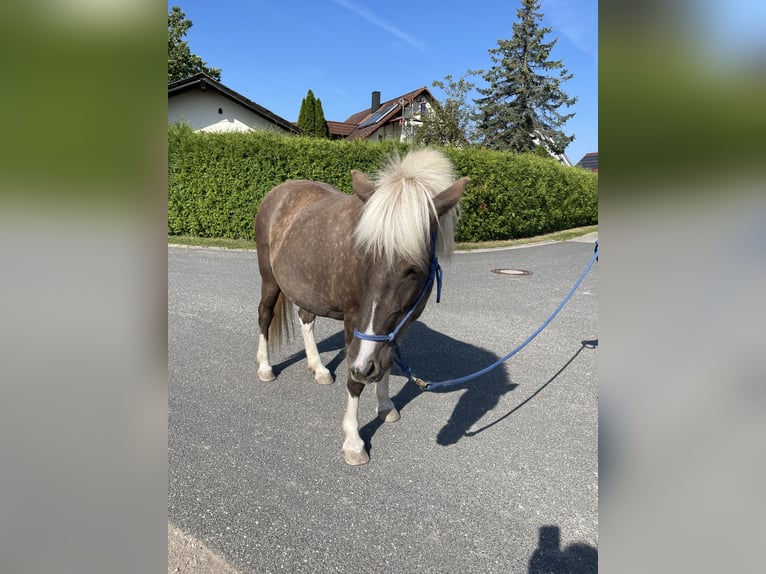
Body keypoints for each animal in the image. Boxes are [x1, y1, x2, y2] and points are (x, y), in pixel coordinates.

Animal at [255, 150, 472, 468]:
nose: (364, 367)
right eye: (362, 256)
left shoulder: (399, 325)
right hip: (269, 280)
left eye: (413, 269)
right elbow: (354, 381)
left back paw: (319, 368)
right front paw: (354, 443)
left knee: (306, 319)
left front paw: (385, 406)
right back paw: (265, 367)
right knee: (265, 316)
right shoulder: (354, 323)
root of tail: (279, 191)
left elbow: (387, 363)